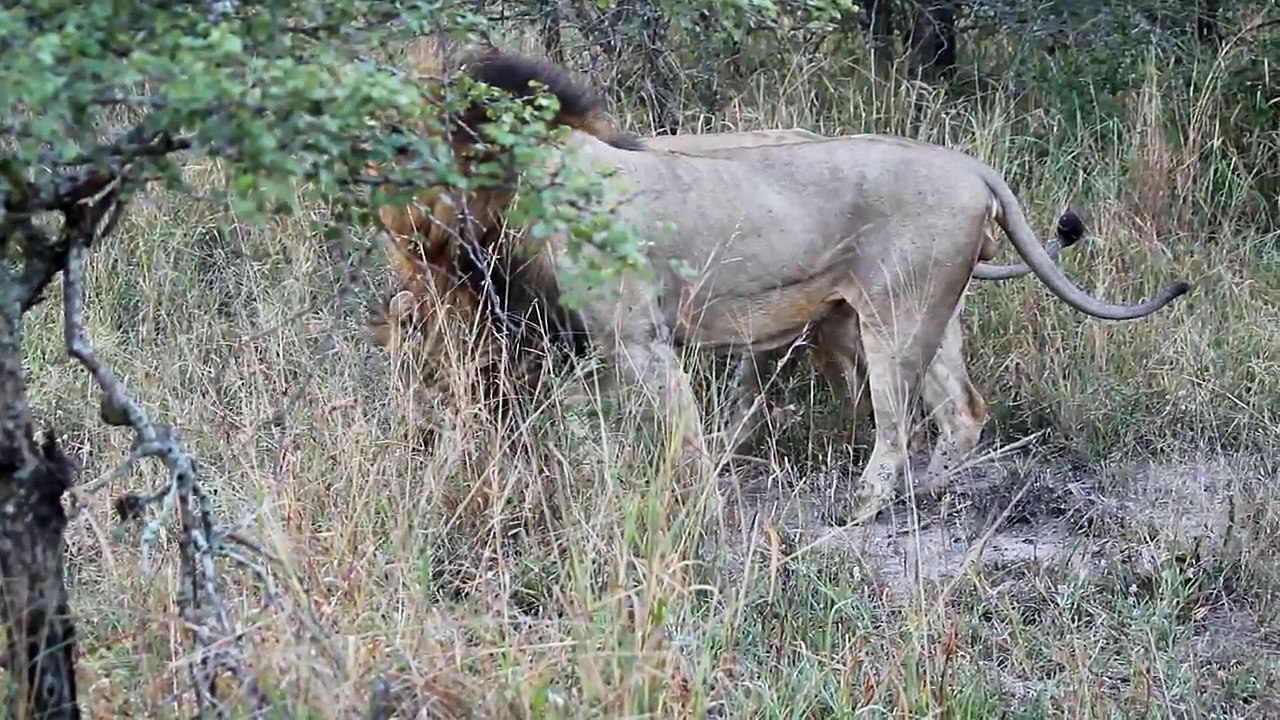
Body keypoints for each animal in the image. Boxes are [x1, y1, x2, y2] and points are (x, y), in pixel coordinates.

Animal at [369, 41, 1190, 523]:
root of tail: (973, 167)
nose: (393, 232)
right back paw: (931, 492)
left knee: (896, 428)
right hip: (931, 311)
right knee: (962, 411)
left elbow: (682, 437)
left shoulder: (637, 339)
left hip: (890, 316)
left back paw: (867, 506)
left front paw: (700, 511)